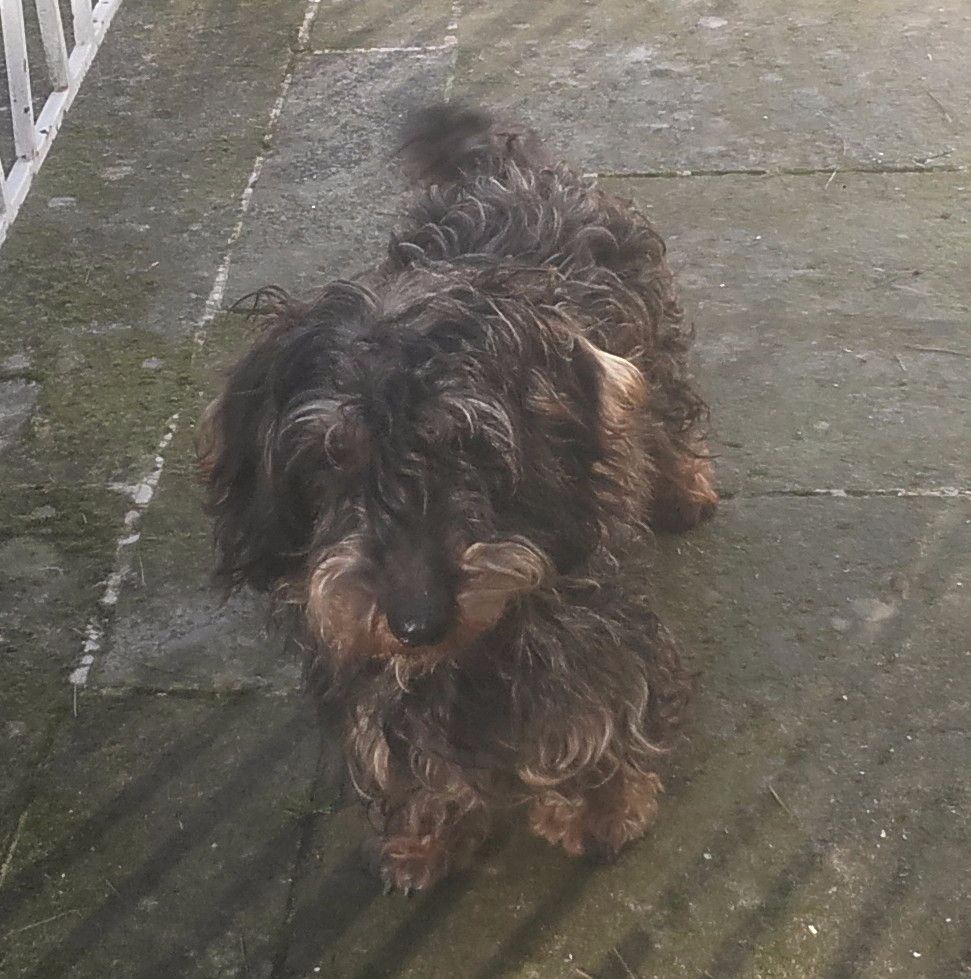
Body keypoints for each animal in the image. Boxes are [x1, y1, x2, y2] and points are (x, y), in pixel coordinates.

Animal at [197, 104, 717, 892]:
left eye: (465, 446)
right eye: (331, 459)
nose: (419, 623)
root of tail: (503, 166)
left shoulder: (583, 611)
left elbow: (590, 696)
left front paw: (599, 804)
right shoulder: (359, 655)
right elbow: (399, 743)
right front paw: (423, 835)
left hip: (651, 335)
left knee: (666, 411)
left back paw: (682, 485)